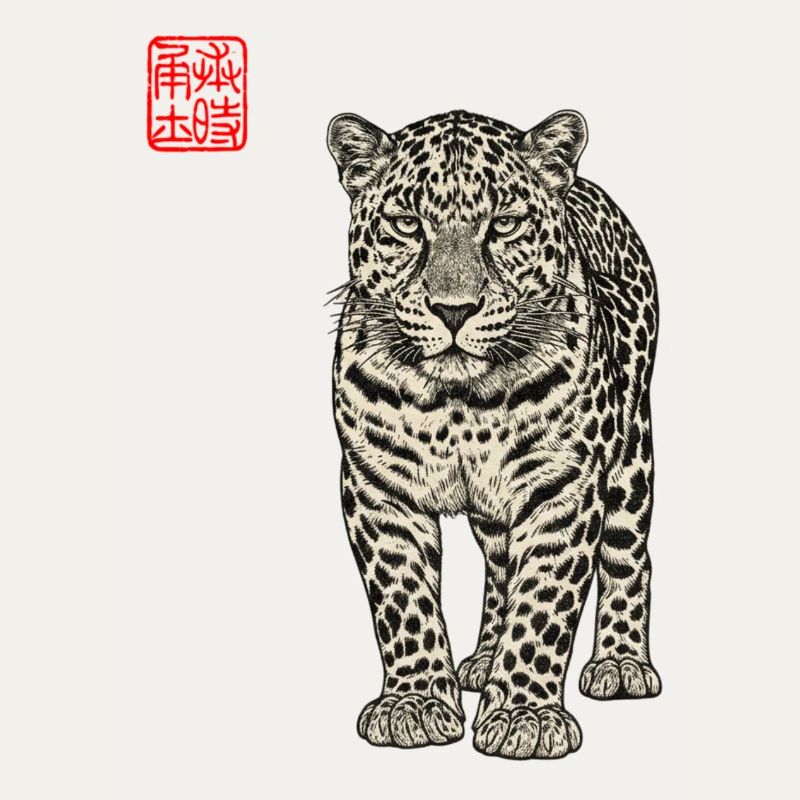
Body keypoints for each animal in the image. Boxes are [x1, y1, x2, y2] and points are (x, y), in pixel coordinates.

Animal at [326, 109, 661, 760]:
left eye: (504, 224)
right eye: (408, 224)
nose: (453, 310)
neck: (458, 403)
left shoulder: (561, 490)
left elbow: (544, 602)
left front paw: (524, 715)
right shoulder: (379, 490)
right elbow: (403, 599)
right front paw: (415, 703)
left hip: (631, 457)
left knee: (628, 556)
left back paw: (621, 663)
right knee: (501, 564)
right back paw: (483, 659)